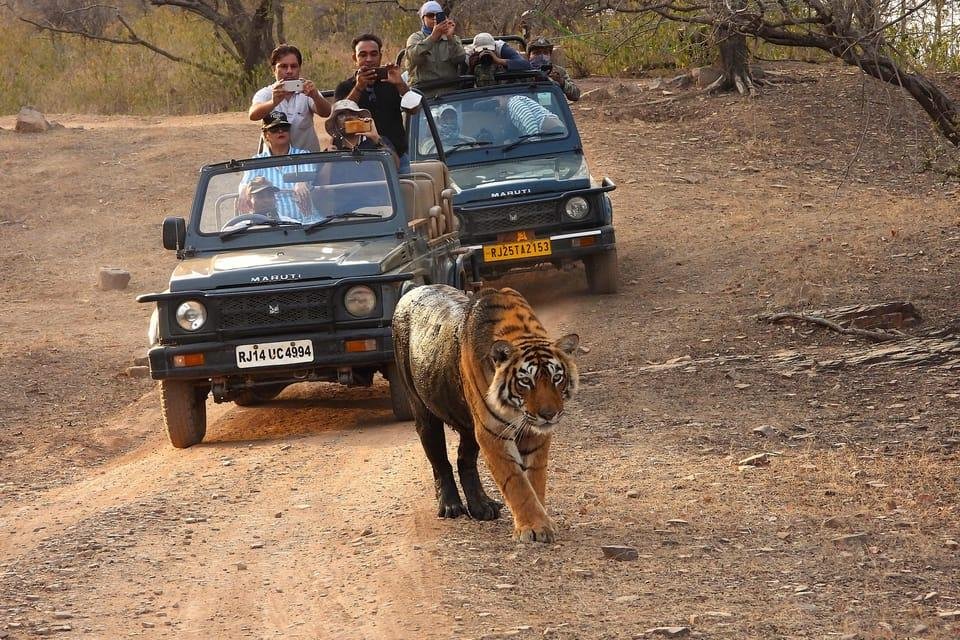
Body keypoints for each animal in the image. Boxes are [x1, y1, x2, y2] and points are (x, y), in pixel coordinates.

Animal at [391, 284, 579, 542]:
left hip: (469, 428)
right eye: (526, 381)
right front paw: (533, 527)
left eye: (556, 378)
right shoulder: (493, 433)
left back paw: (482, 506)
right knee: (440, 461)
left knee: (464, 460)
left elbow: (535, 479)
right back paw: (450, 506)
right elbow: (517, 483)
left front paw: (541, 521)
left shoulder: (534, 434)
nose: (549, 415)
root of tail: (413, 288)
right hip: (424, 412)